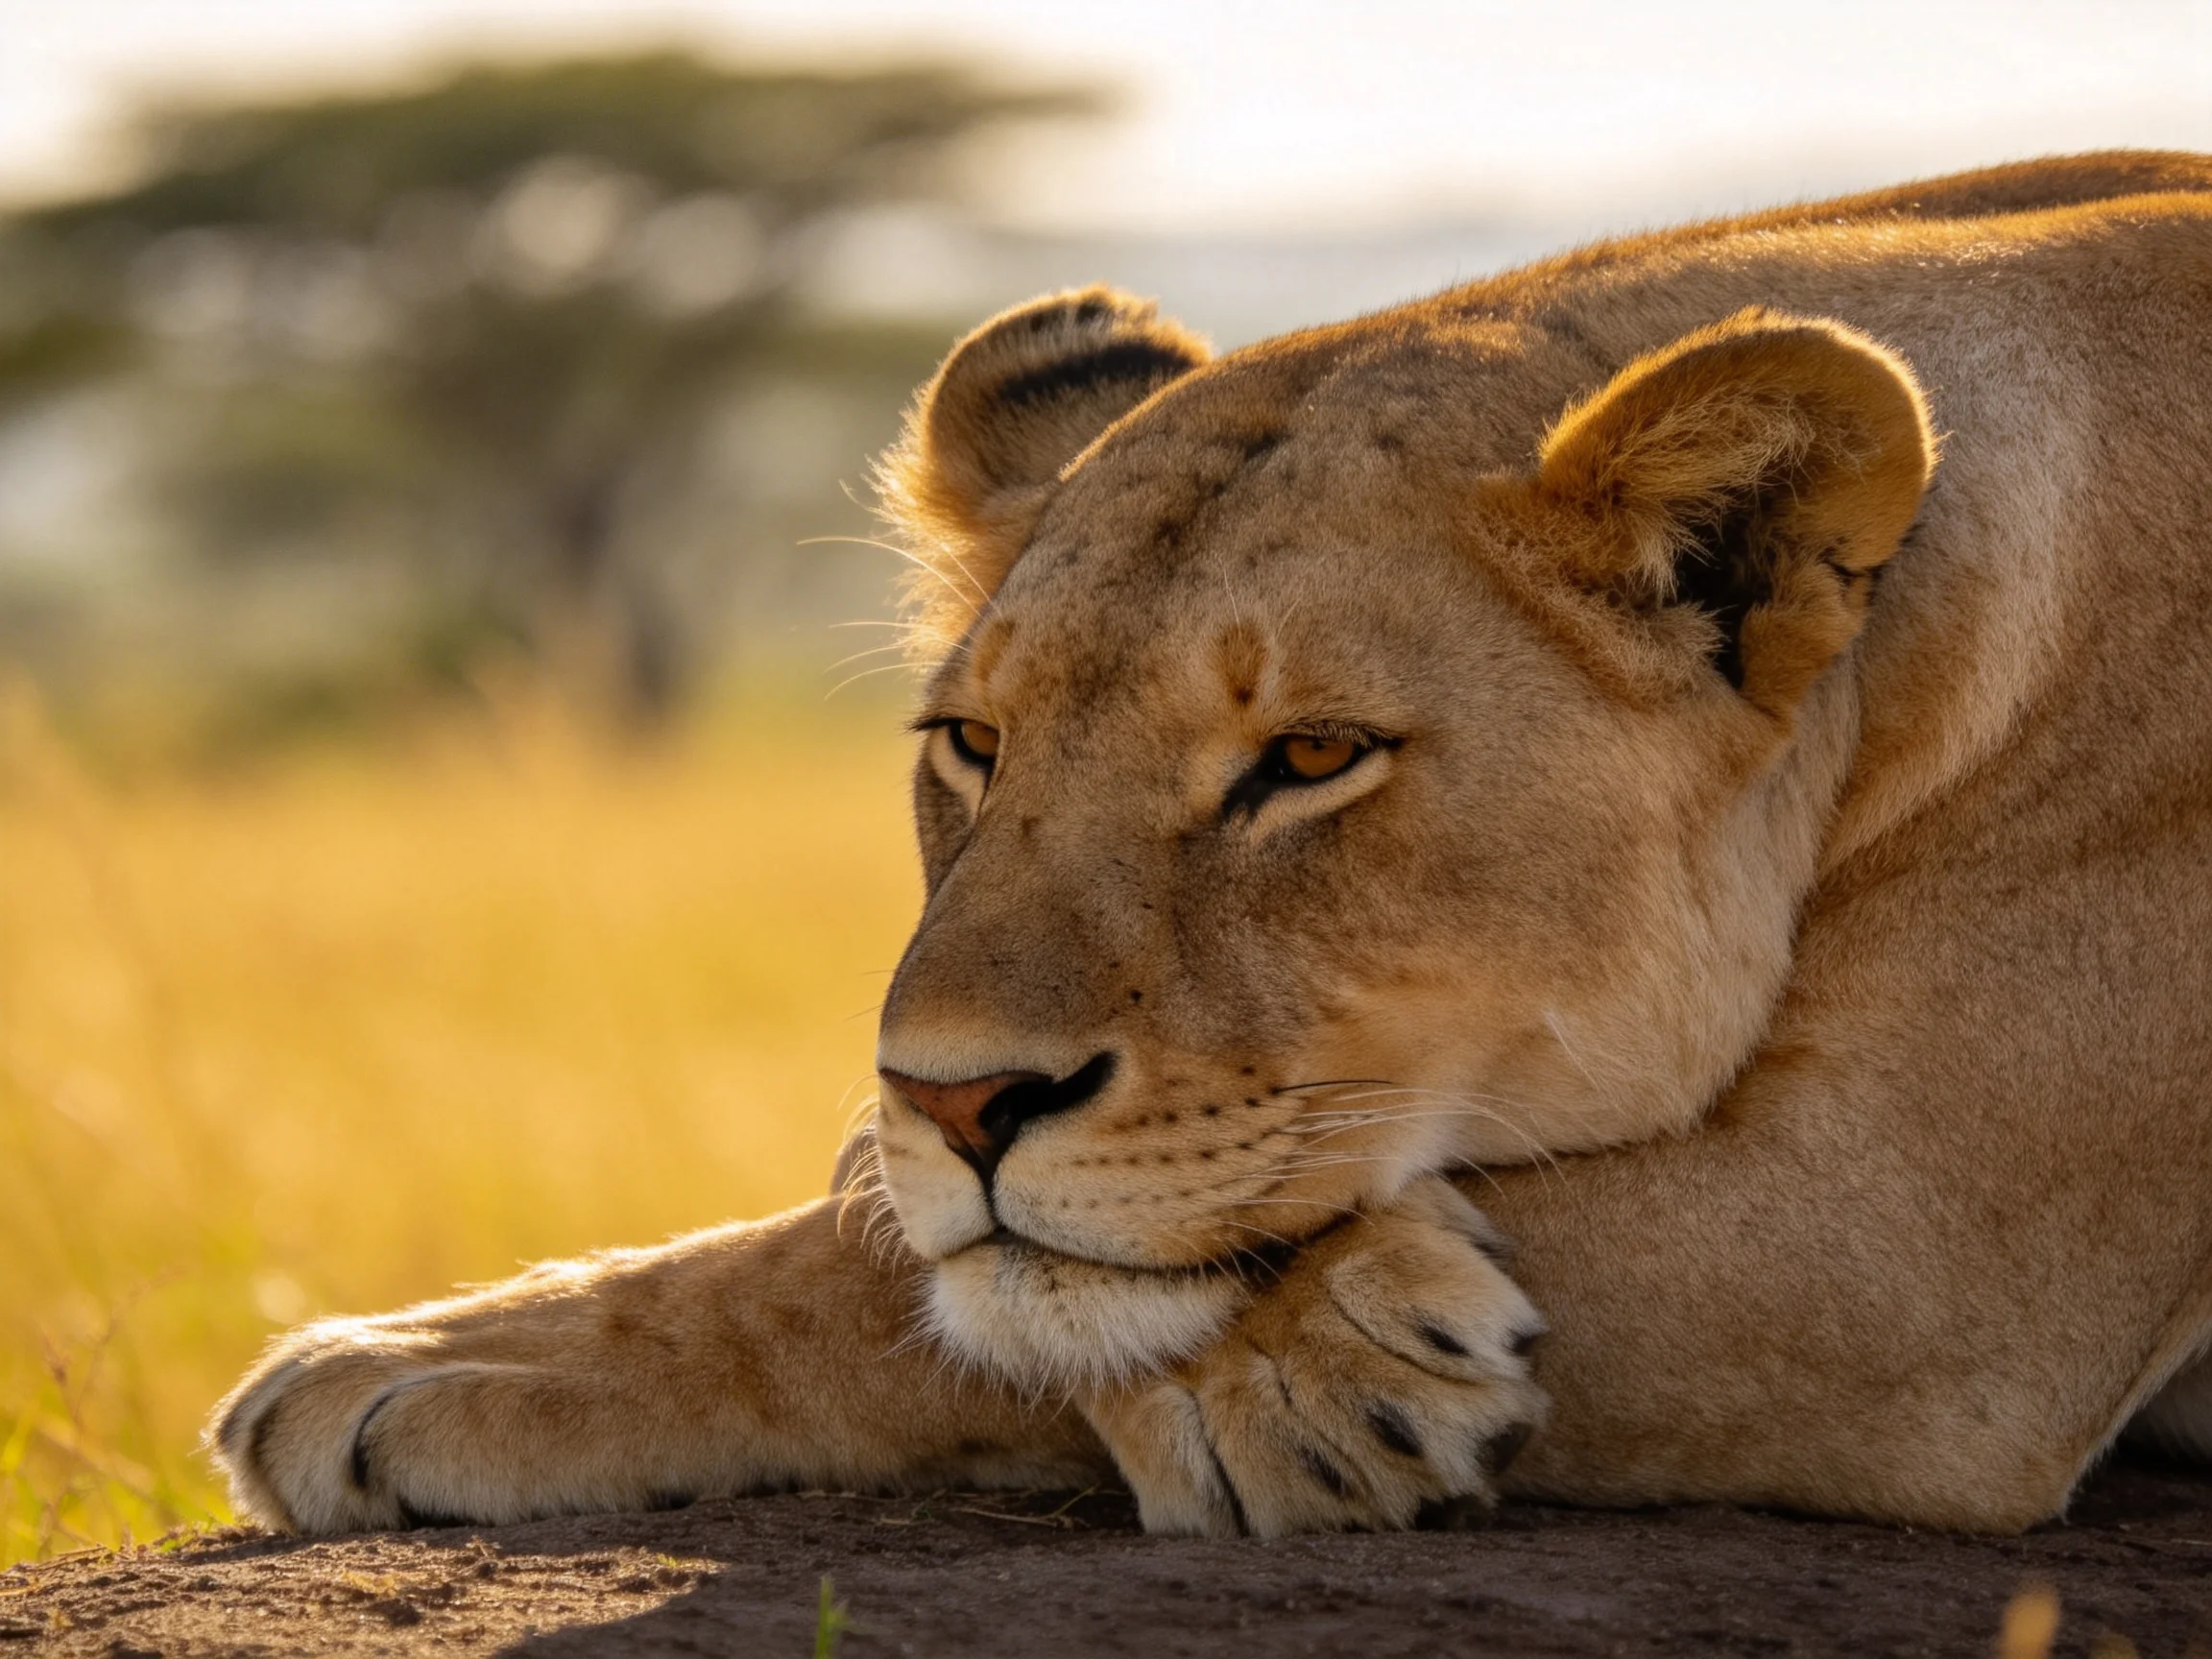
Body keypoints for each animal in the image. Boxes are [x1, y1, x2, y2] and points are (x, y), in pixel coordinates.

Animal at [212, 151, 2212, 1539]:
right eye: (975, 742)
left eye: (1307, 757)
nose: (952, 1099)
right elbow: (923, 1264)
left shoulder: (1916, 1263)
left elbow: (899, 1286)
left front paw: (410, 1362)